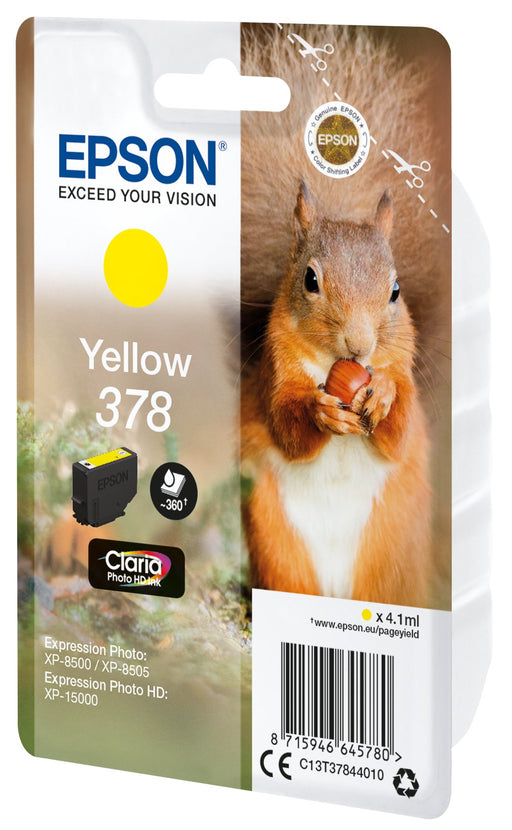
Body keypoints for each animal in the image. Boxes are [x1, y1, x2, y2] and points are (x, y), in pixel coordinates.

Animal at [239, 24, 451, 607]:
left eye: (396, 291)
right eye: (310, 280)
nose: (359, 347)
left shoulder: (403, 366)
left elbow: (400, 430)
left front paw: (382, 395)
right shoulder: (275, 371)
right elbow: (286, 426)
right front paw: (319, 412)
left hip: (390, 555)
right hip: (277, 543)